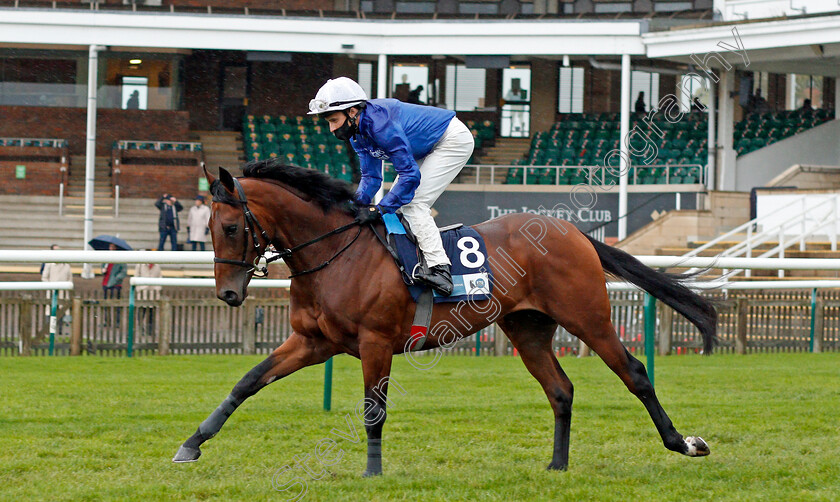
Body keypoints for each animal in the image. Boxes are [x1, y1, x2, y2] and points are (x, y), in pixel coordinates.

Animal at [172, 161, 716, 474]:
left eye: (231, 227)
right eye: (212, 228)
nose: (227, 293)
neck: (334, 253)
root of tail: (574, 232)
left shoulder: (375, 342)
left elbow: (373, 410)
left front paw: (372, 474)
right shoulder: (312, 342)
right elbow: (247, 382)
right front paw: (191, 444)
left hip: (589, 316)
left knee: (635, 373)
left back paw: (683, 443)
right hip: (528, 328)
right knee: (560, 390)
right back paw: (556, 466)